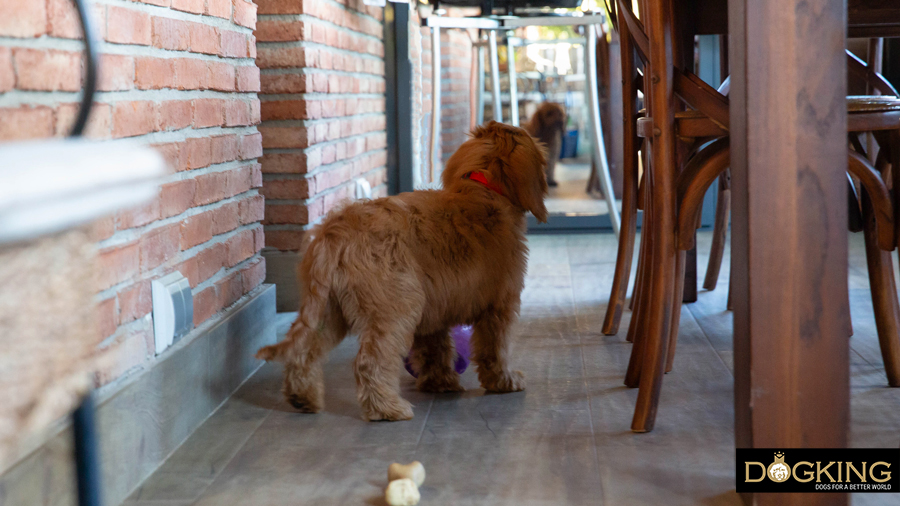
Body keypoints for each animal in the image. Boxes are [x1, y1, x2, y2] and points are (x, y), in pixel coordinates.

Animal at [253, 120, 548, 422]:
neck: (483, 187)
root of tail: (337, 231)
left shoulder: (436, 309)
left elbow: (435, 348)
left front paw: (440, 382)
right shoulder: (500, 305)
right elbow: (496, 348)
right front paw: (505, 380)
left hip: (327, 308)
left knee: (304, 348)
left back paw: (302, 398)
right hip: (395, 306)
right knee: (369, 361)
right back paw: (386, 408)